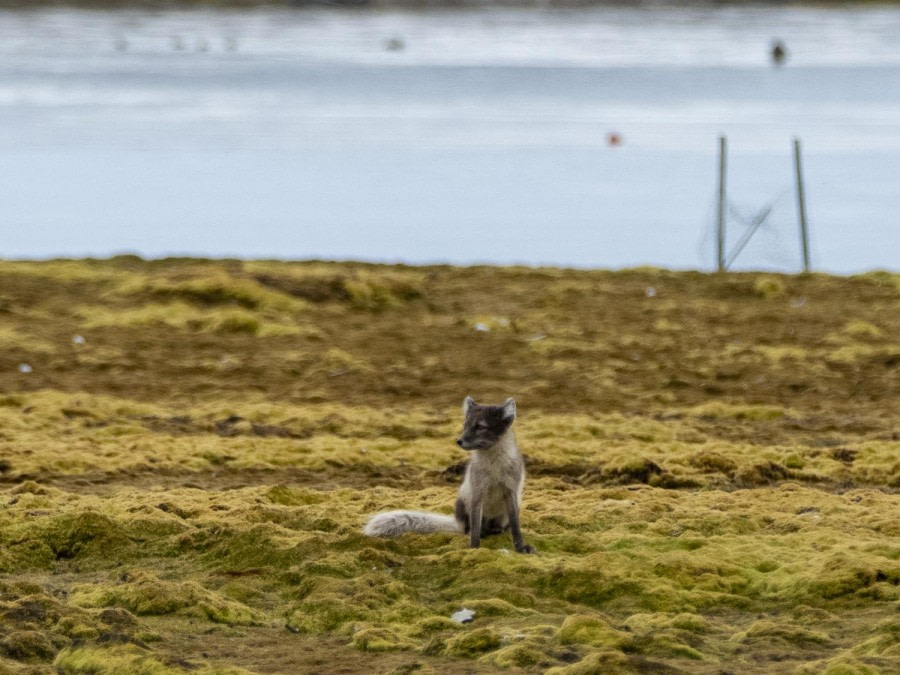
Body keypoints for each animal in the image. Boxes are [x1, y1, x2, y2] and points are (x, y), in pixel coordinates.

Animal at [364, 396, 536, 556]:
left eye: (480, 426)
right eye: (465, 426)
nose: (459, 441)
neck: (495, 469)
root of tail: (457, 523)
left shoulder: (511, 491)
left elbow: (516, 526)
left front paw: (521, 547)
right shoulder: (477, 494)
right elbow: (475, 528)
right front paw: (474, 548)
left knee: (500, 526)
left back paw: (496, 530)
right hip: (463, 503)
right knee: (469, 529)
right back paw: (479, 532)